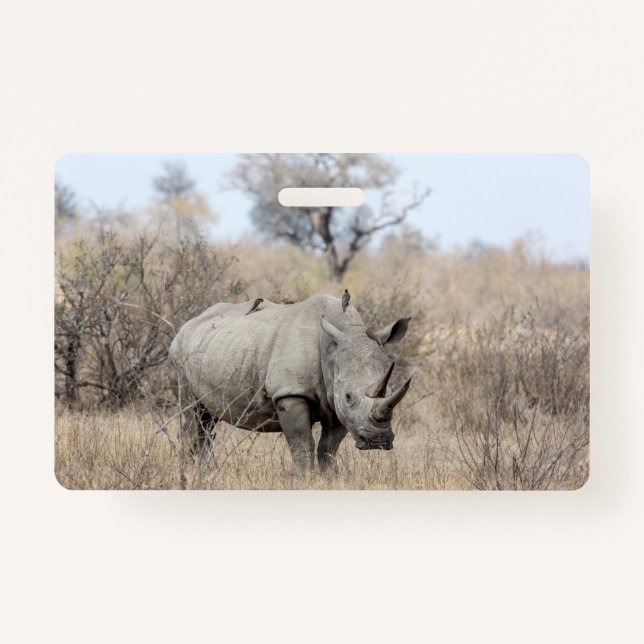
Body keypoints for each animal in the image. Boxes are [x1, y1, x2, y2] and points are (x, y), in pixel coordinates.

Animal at [169, 294, 412, 473]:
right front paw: (305, 478)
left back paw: (204, 473)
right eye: (349, 397)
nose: (377, 441)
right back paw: (191, 472)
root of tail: (189, 323)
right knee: (193, 415)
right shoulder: (290, 393)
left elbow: (328, 448)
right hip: (178, 354)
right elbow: (302, 442)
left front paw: (329, 478)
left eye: (389, 391)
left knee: (207, 421)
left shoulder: (335, 401)